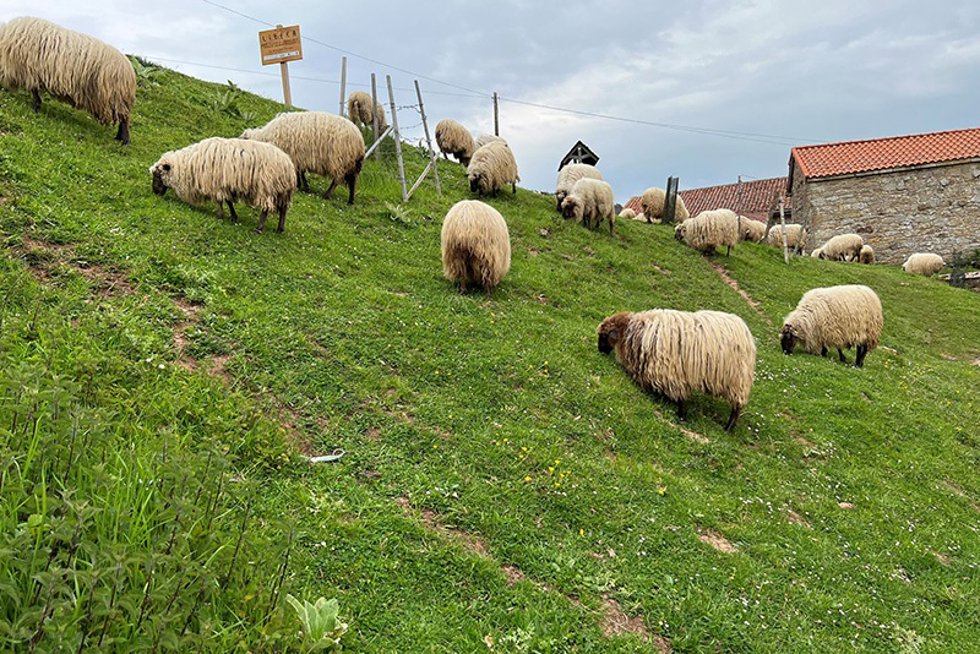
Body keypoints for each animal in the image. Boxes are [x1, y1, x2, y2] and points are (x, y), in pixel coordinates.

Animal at [0, 17, 136, 144]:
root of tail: (129, 68)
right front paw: (37, 105)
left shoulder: (31, 72)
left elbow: (34, 91)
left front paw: (36, 107)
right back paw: (119, 138)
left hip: (116, 96)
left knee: (124, 119)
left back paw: (124, 140)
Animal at [149, 137, 295, 233]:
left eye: (158, 174)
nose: (155, 192)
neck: (190, 164)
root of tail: (288, 164)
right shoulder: (225, 185)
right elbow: (229, 201)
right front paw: (233, 217)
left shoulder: (216, 185)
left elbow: (220, 201)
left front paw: (220, 216)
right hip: (282, 192)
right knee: (283, 210)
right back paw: (280, 229)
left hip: (267, 188)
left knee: (265, 208)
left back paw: (258, 228)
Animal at [597, 309, 756, 431]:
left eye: (604, 335)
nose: (600, 351)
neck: (635, 332)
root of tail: (745, 329)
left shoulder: (671, 371)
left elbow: (680, 396)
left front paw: (681, 416)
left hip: (738, 379)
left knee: (737, 406)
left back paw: (728, 428)